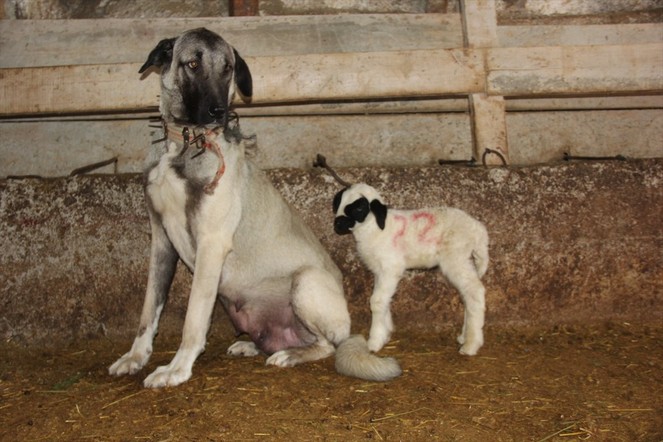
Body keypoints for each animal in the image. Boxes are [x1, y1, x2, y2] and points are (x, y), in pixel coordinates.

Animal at [334, 183, 490, 356]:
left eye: (359, 208)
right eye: (338, 202)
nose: (337, 225)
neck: (374, 228)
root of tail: (478, 230)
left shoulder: (391, 267)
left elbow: (377, 301)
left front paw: (374, 341)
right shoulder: (380, 271)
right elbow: (385, 300)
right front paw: (386, 333)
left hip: (456, 258)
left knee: (475, 291)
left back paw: (471, 345)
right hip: (464, 260)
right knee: (467, 295)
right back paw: (464, 337)